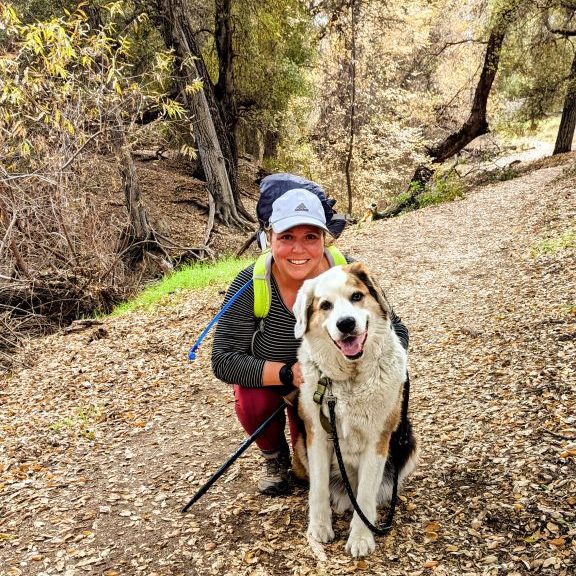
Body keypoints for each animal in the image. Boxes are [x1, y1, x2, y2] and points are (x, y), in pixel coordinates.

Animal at [292, 262, 418, 560]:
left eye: (357, 296)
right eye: (325, 305)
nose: (346, 323)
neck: (348, 381)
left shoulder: (378, 441)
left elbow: (365, 494)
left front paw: (361, 537)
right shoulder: (317, 436)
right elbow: (318, 489)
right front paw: (319, 527)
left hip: (408, 442)